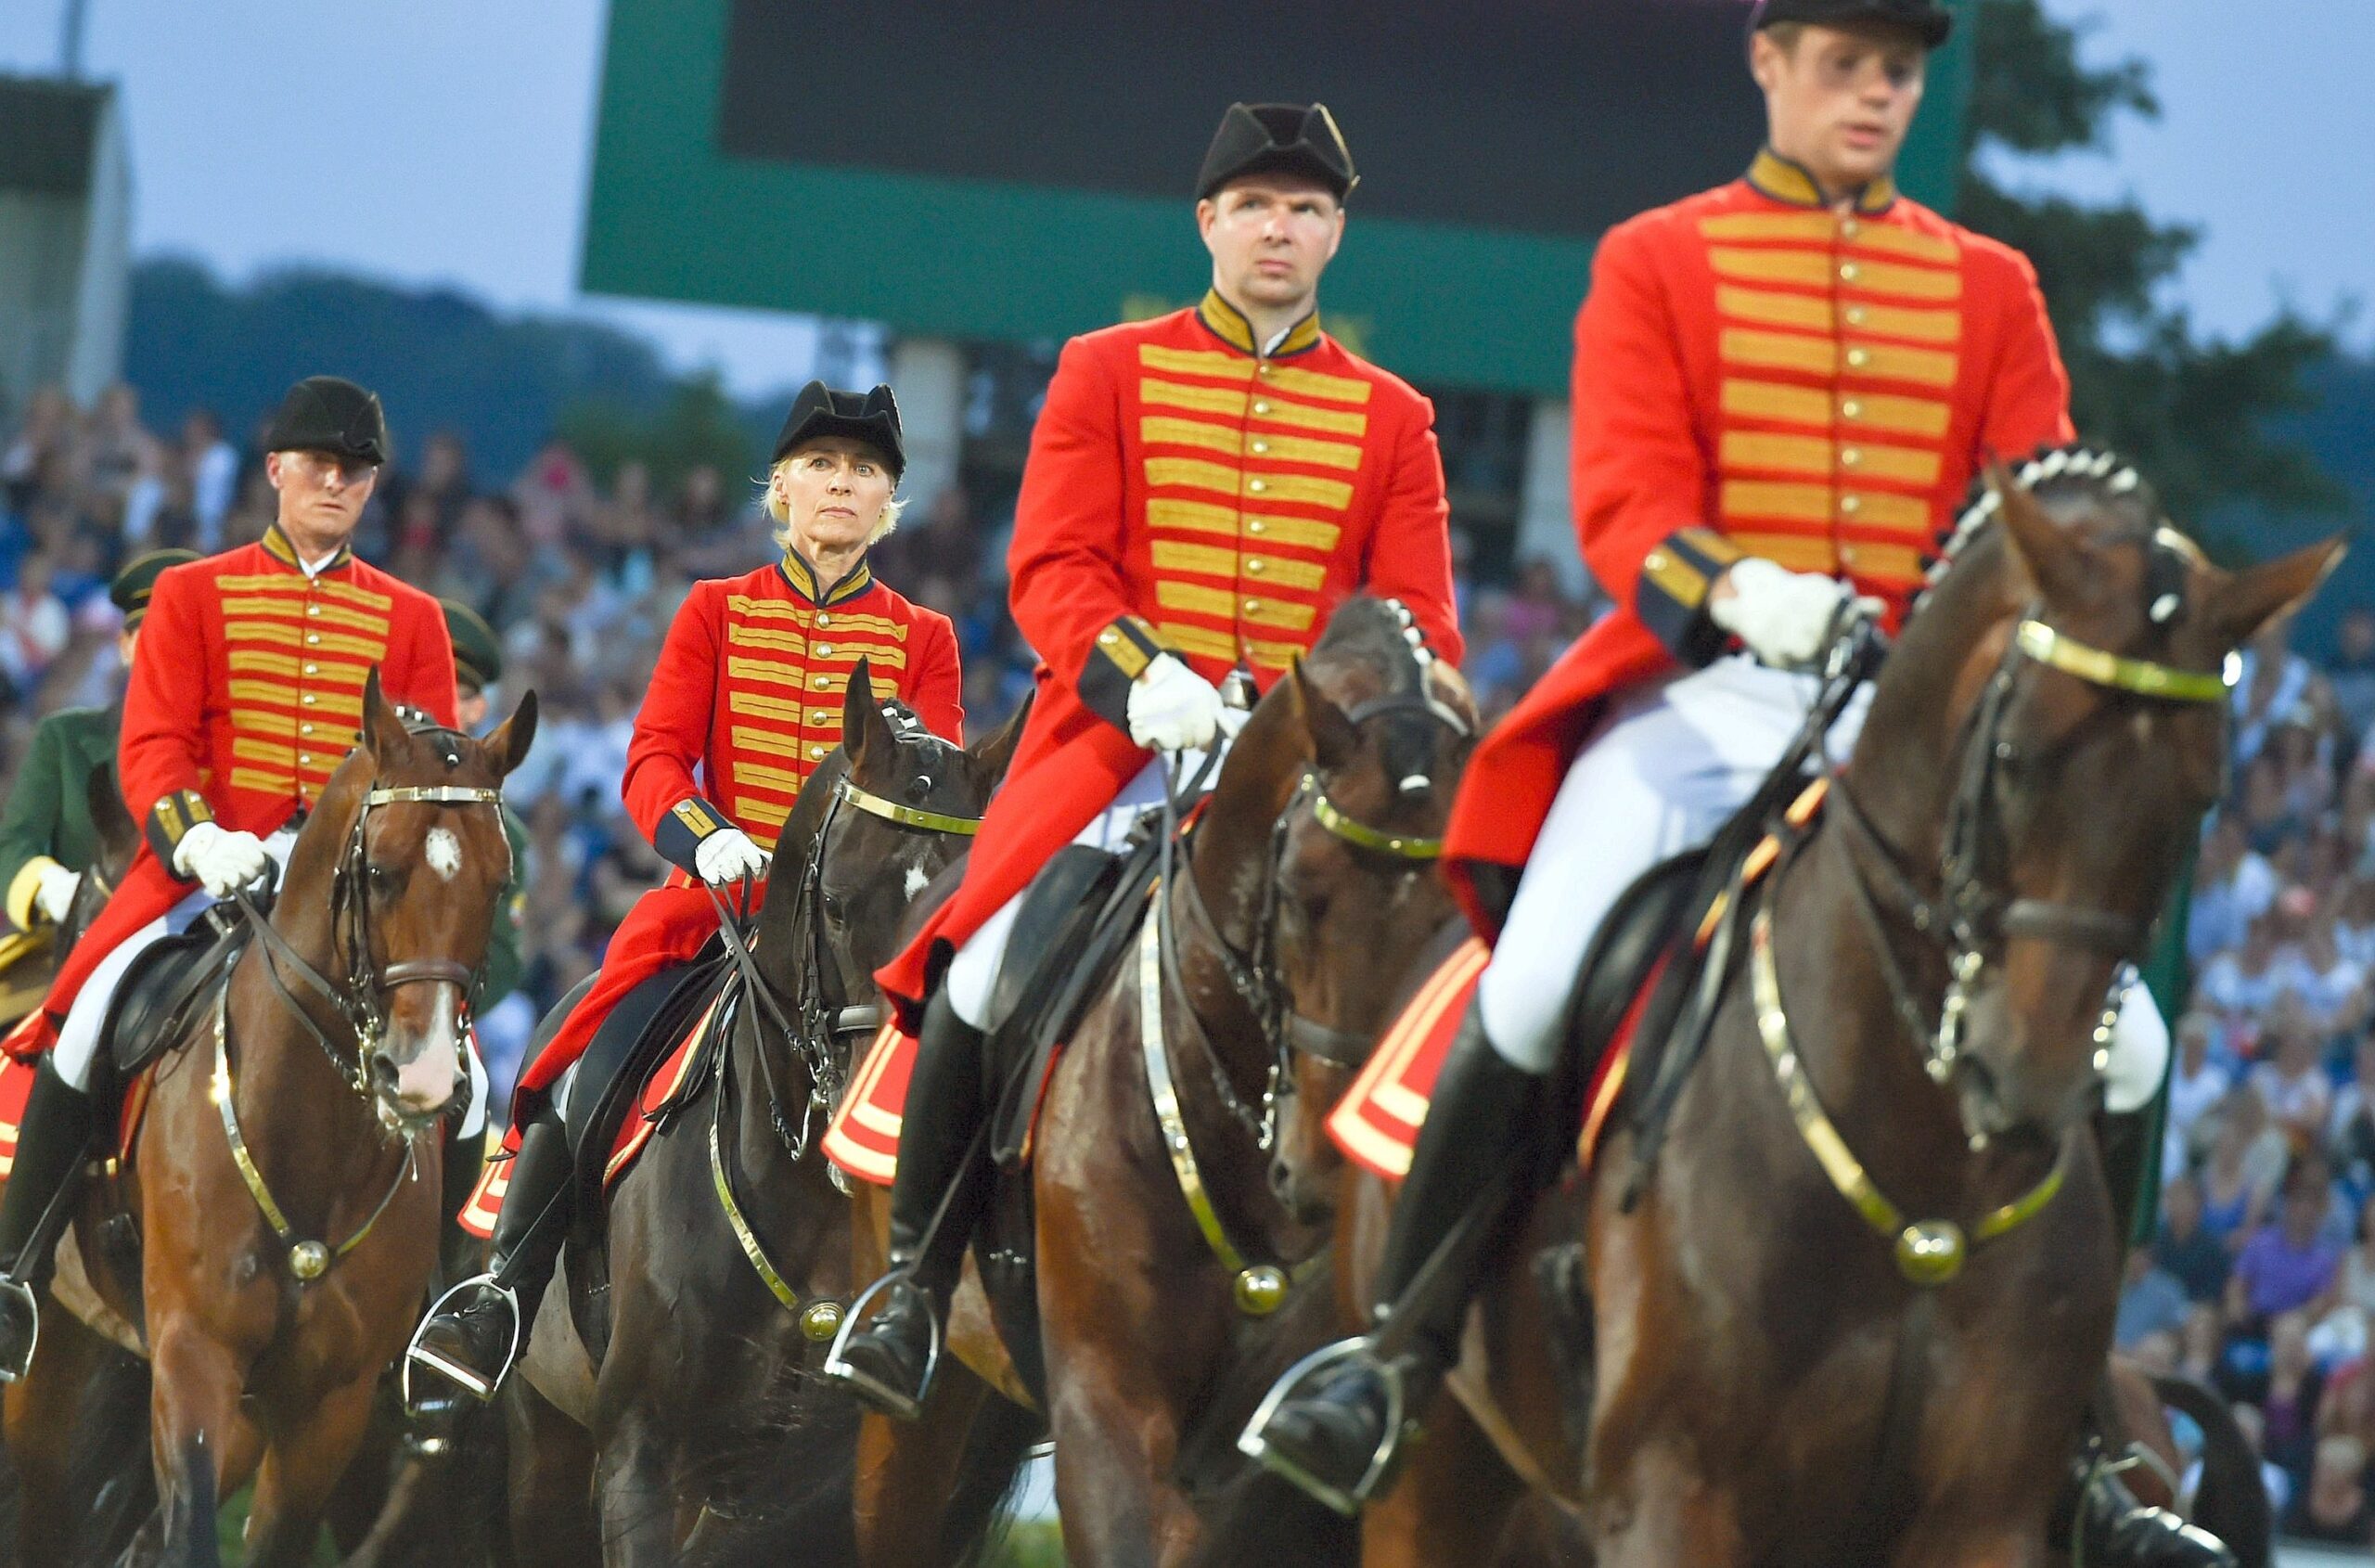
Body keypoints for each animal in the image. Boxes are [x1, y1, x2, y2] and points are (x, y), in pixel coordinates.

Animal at [3, 675, 534, 1568]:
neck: (313, 1145)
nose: (423, 1076)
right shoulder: (194, 1357)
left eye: (498, 885)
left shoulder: (329, 1405)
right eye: (380, 872)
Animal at [1339, 463, 2337, 1568]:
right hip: (1434, 1480)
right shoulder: (1673, 1495)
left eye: (2201, 796)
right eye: (2015, 756)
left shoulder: (1981, 1518)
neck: (1923, 1180)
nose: (2023, 1078)